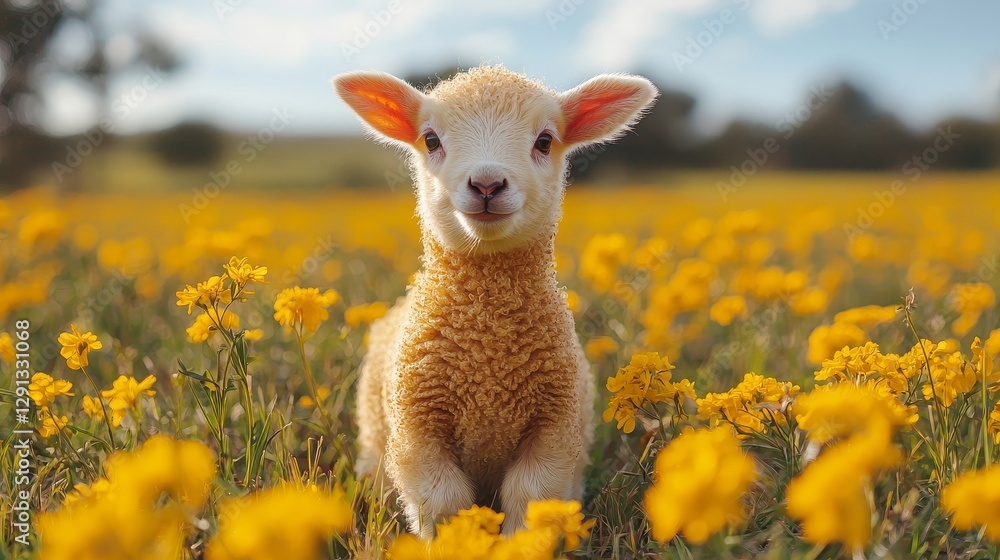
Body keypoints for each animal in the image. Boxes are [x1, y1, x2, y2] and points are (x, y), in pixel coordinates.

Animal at [332, 65, 657, 536]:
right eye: (431, 140)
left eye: (545, 141)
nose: (487, 184)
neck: (488, 344)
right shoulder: (417, 428)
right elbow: (444, 504)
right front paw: (461, 543)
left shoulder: (554, 425)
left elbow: (531, 497)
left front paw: (519, 544)